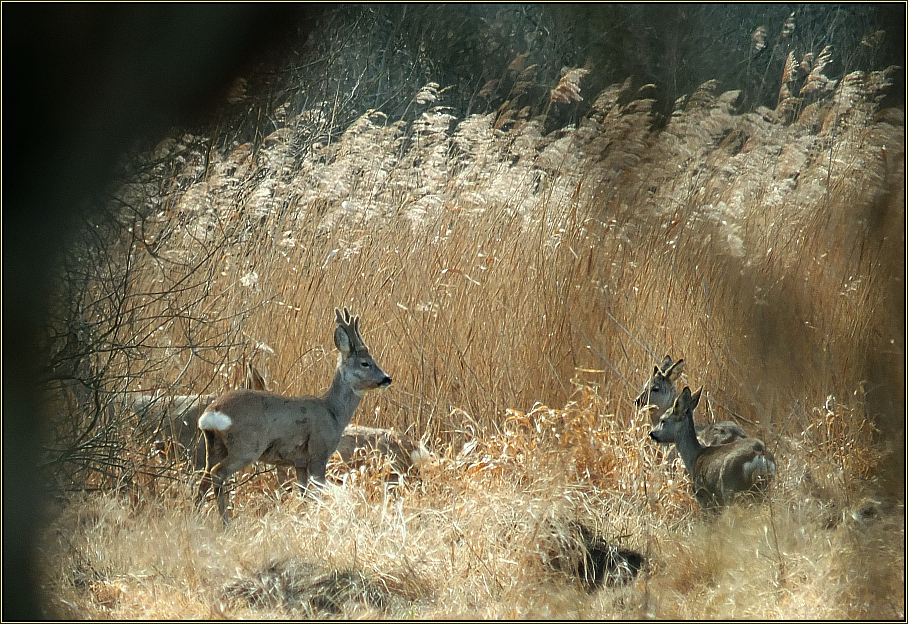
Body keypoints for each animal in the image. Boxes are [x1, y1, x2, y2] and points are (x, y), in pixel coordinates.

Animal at [197, 308, 392, 520]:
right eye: (365, 363)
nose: (387, 378)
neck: (333, 414)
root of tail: (212, 413)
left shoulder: (299, 462)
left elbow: (304, 494)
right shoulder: (319, 451)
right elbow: (316, 493)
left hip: (214, 446)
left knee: (204, 478)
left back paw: (195, 515)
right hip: (245, 446)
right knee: (217, 473)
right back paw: (225, 520)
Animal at [648, 386, 776, 512]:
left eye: (663, 420)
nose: (651, 433)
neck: (693, 457)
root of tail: (759, 453)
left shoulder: (703, 495)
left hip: (729, 487)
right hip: (762, 487)